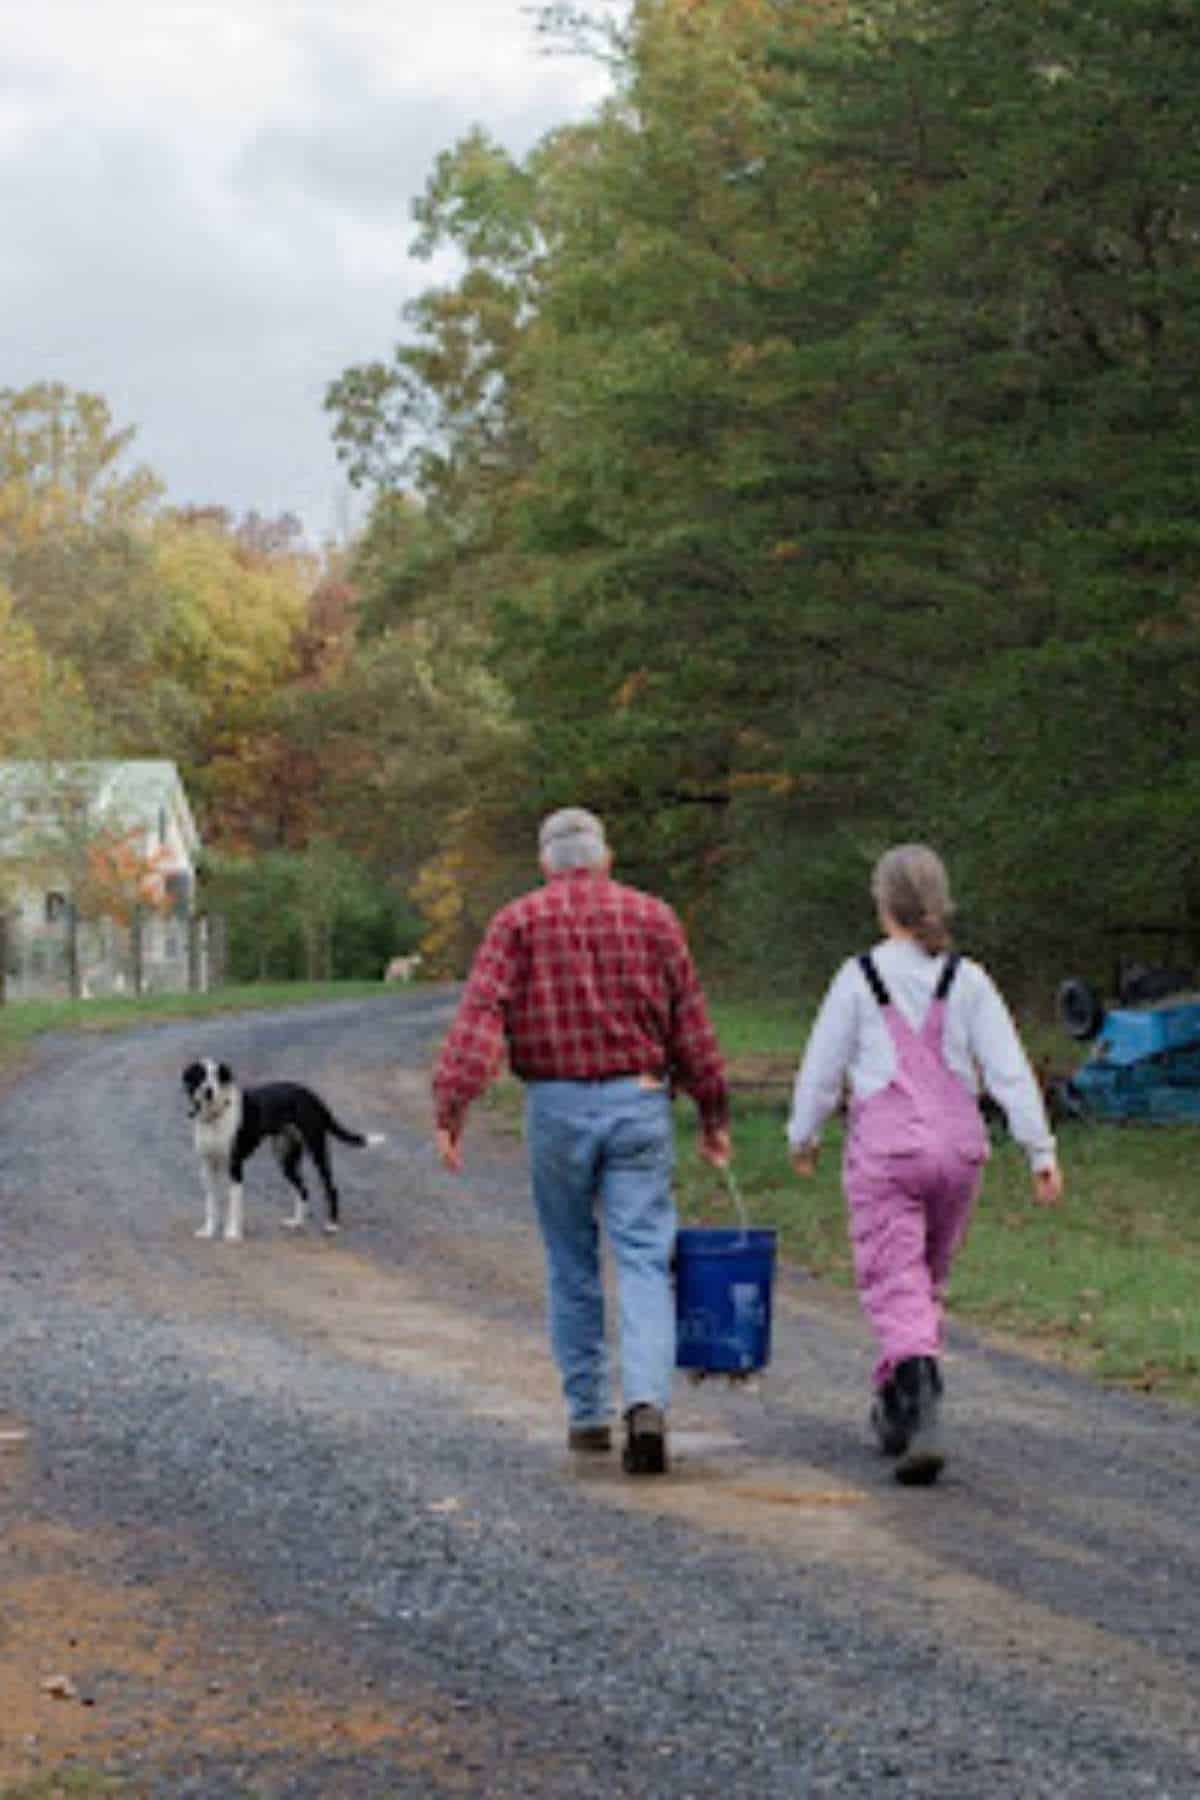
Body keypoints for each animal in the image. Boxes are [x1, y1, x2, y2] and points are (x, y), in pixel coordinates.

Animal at [181, 1058, 385, 1245]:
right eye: (201, 1075)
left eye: (217, 1076)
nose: (208, 1090)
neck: (215, 1117)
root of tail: (312, 1096)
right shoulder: (207, 1167)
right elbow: (210, 1203)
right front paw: (208, 1231)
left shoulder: (235, 1166)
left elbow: (234, 1204)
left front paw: (232, 1234)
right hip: (286, 1159)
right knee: (303, 1190)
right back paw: (296, 1222)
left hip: (317, 1150)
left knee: (331, 1187)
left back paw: (332, 1225)